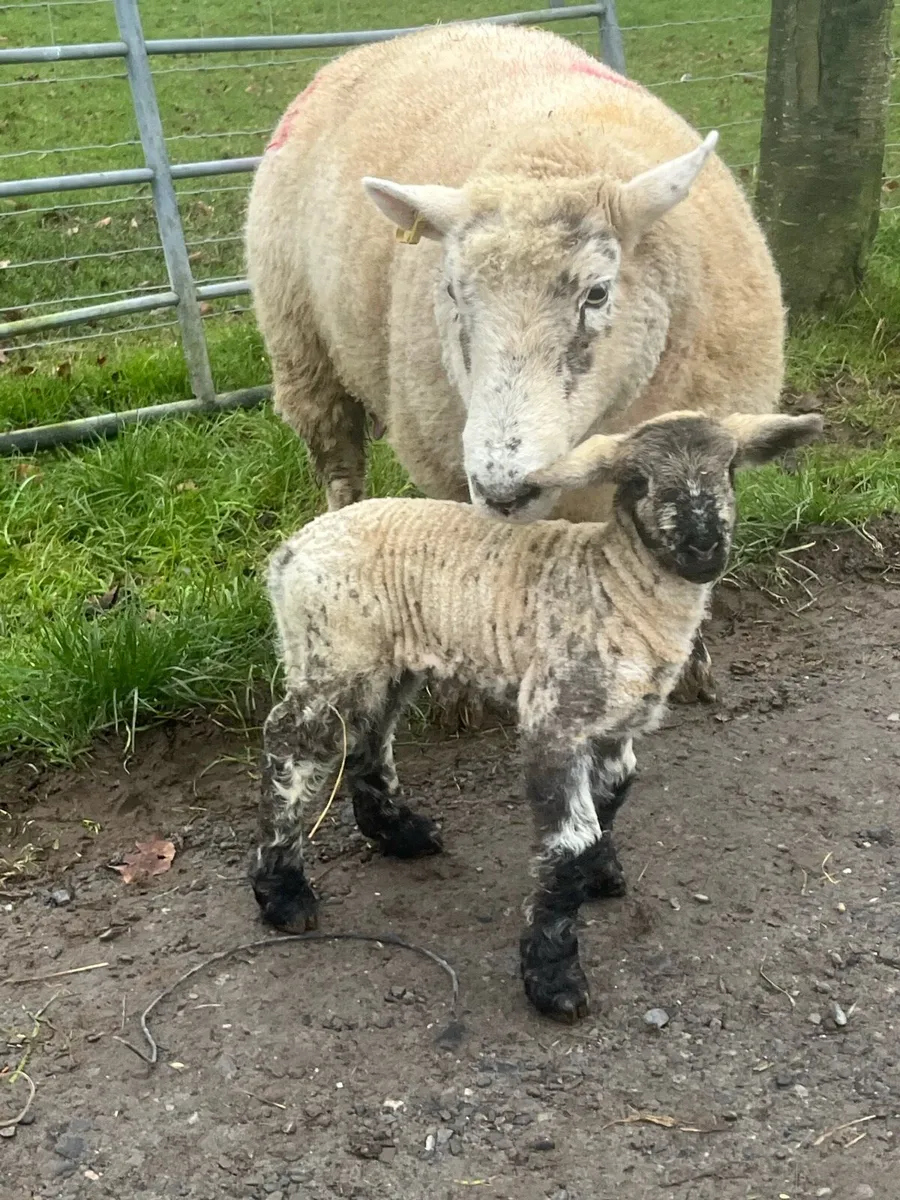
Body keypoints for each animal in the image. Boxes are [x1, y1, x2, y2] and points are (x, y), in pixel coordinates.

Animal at [244, 21, 786, 707]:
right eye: (451, 292)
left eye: (598, 292)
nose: (506, 486)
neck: (555, 152)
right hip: (302, 346)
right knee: (338, 461)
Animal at [249, 410, 822, 1022]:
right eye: (637, 481)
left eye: (730, 470)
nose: (703, 546)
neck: (615, 583)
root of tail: (287, 553)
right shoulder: (555, 718)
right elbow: (570, 842)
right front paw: (554, 979)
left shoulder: (615, 722)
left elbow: (614, 794)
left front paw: (601, 876)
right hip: (332, 647)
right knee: (291, 738)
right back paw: (282, 892)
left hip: (386, 658)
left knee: (369, 734)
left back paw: (399, 832)